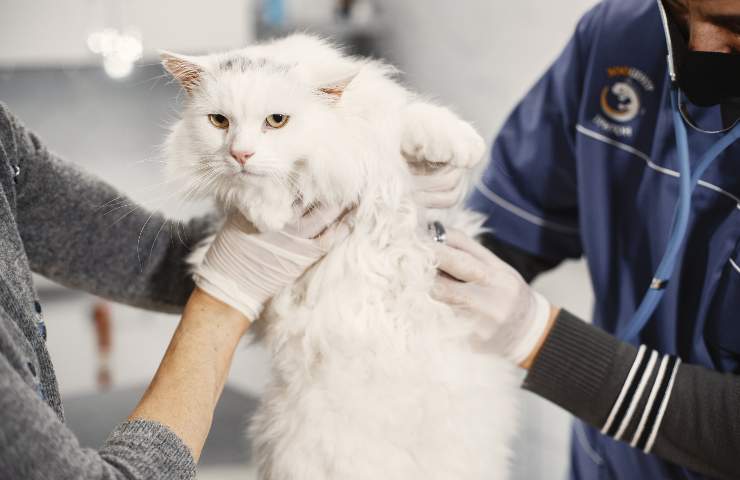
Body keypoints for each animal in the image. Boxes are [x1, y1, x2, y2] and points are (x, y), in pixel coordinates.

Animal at [164, 34, 516, 480]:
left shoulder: (378, 130)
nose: (240, 154)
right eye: (219, 122)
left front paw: (460, 146)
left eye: (276, 120)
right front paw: (269, 213)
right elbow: (250, 191)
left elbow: (412, 119)